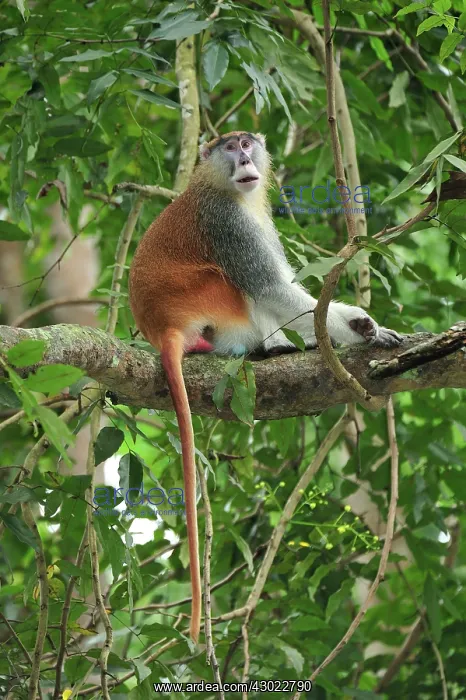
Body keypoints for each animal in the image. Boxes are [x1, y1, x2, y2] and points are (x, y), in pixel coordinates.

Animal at [128, 131, 402, 642]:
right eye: (228, 147)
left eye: (245, 143)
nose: (244, 158)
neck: (220, 185)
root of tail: (163, 328)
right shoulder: (229, 224)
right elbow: (275, 288)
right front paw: (361, 329)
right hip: (209, 298)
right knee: (244, 288)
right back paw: (271, 348)